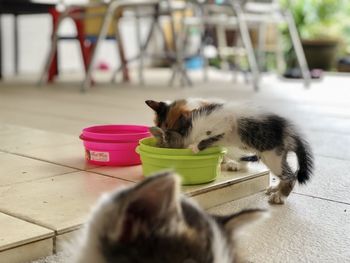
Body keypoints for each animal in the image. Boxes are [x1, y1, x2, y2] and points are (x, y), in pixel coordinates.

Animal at [144, 100, 314, 205]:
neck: (187, 127)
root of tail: (289, 131)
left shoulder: (225, 123)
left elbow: (211, 137)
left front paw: (196, 146)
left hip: (272, 155)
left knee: (290, 175)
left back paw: (280, 196)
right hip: (274, 155)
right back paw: (275, 188)